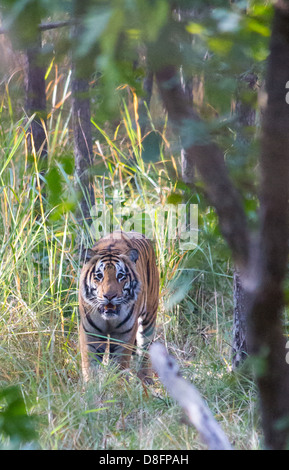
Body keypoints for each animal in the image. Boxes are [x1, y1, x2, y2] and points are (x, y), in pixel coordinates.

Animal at [78, 230, 158, 382]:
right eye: (99, 275)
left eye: (120, 275)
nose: (109, 296)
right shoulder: (90, 332)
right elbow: (90, 365)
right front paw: (91, 386)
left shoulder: (124, 333)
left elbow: (119, 365)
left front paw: (117, 385)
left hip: (149, 317)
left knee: (145, 350)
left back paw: (145, 379)